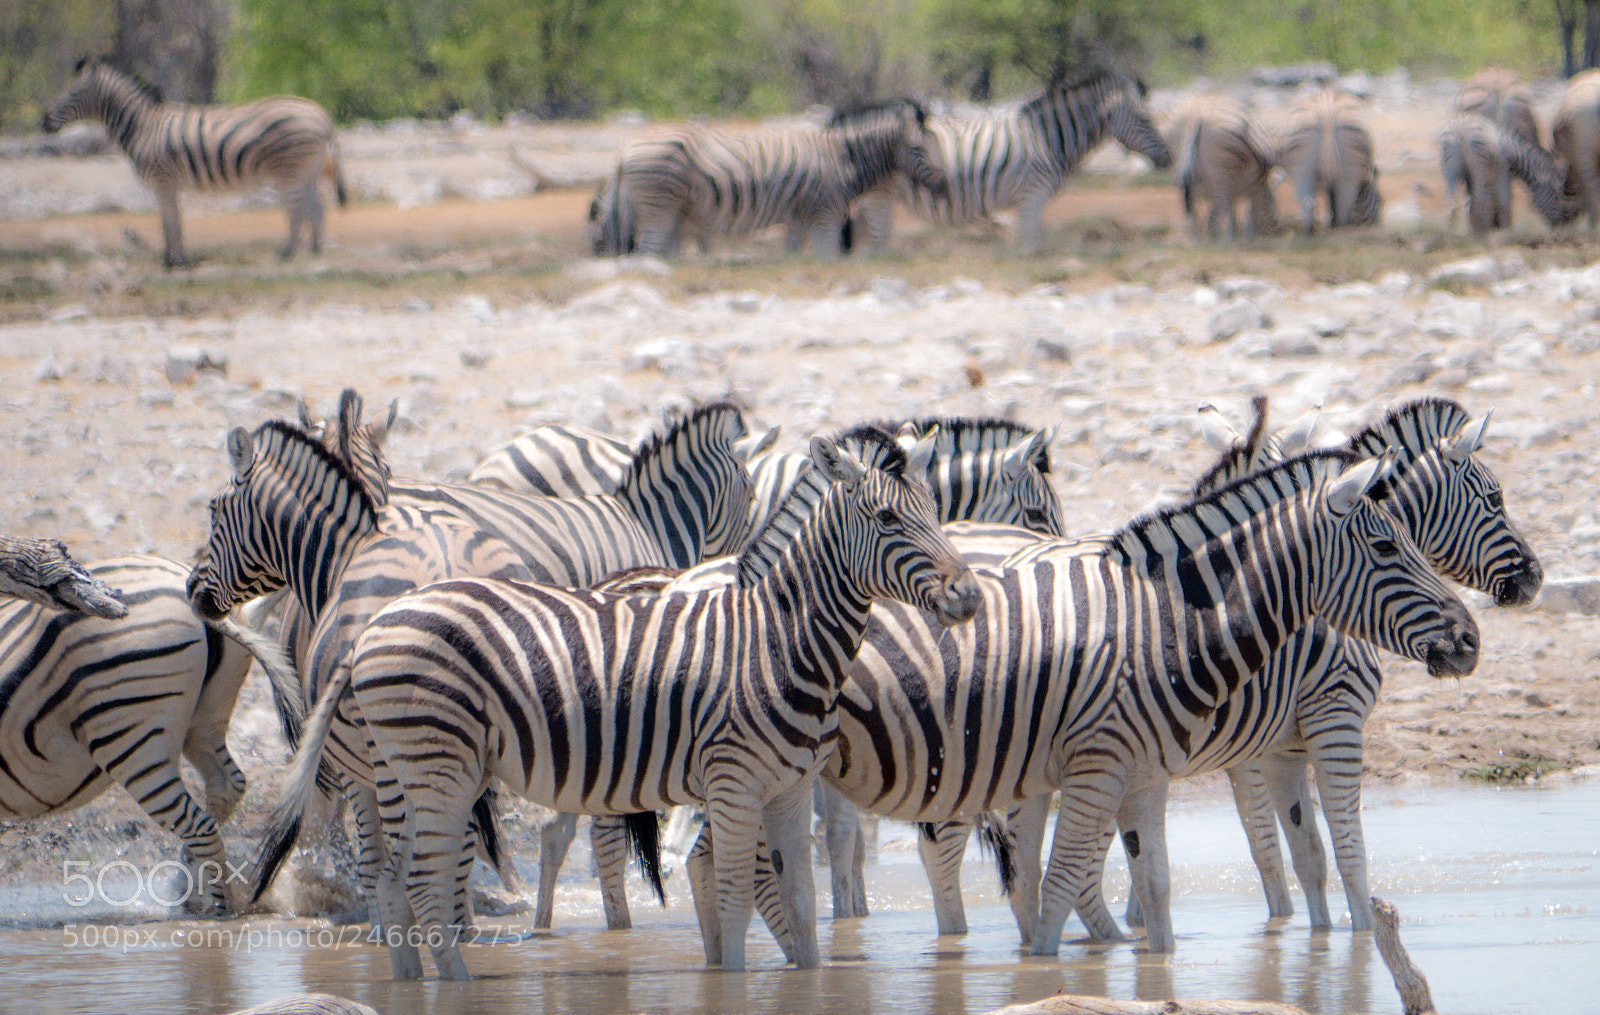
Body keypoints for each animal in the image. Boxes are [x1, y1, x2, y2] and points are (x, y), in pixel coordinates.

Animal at [0, 554, 283, 916]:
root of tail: (188, 589)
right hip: (206, 719)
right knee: (226, 785)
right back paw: (191, 894)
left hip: (132, 736)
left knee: (197, 823)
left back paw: (215, 912)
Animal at [40, 57, 346, 268]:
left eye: (72, 94)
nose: (43, 121)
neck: (143, 127)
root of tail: (321, 115)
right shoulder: (166, 183)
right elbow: (170, 221)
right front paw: (172, 259)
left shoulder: (162, 179)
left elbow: (171, 222)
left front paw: (174, 261)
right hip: (308, 169)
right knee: (316, 209)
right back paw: (314, 251)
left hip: (288, 169)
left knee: (296, 211)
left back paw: (287, 253)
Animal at [256, 430, 982, 978]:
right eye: (887, 519)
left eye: (934, 510)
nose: (971, 595)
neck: (775, 641)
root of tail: (375, 625)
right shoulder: (734, 782)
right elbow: (734, 904)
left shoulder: (789, 786)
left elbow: (803, 908)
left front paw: (808, 983)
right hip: (439, 767)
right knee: (425, 886)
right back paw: (457, 987)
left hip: (400, 767)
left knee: (393, 883)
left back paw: (411, 984)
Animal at [592, 99, 946, 257]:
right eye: (919, 148)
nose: (944, 185)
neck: (839, 158)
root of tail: (623, 152)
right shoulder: (826, 214)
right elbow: (827, 255)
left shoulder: (799, 217)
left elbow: (794, 254)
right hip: (660, 204)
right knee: (647, 251)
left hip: (673, 211)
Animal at [849, 71, 1172, 253]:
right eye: (1145, 119)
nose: (1168, 158)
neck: (1047, 139)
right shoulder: (1032, 196)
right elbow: (1030, 247)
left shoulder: (1027, 201)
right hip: (878, 197)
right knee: (874, 245)